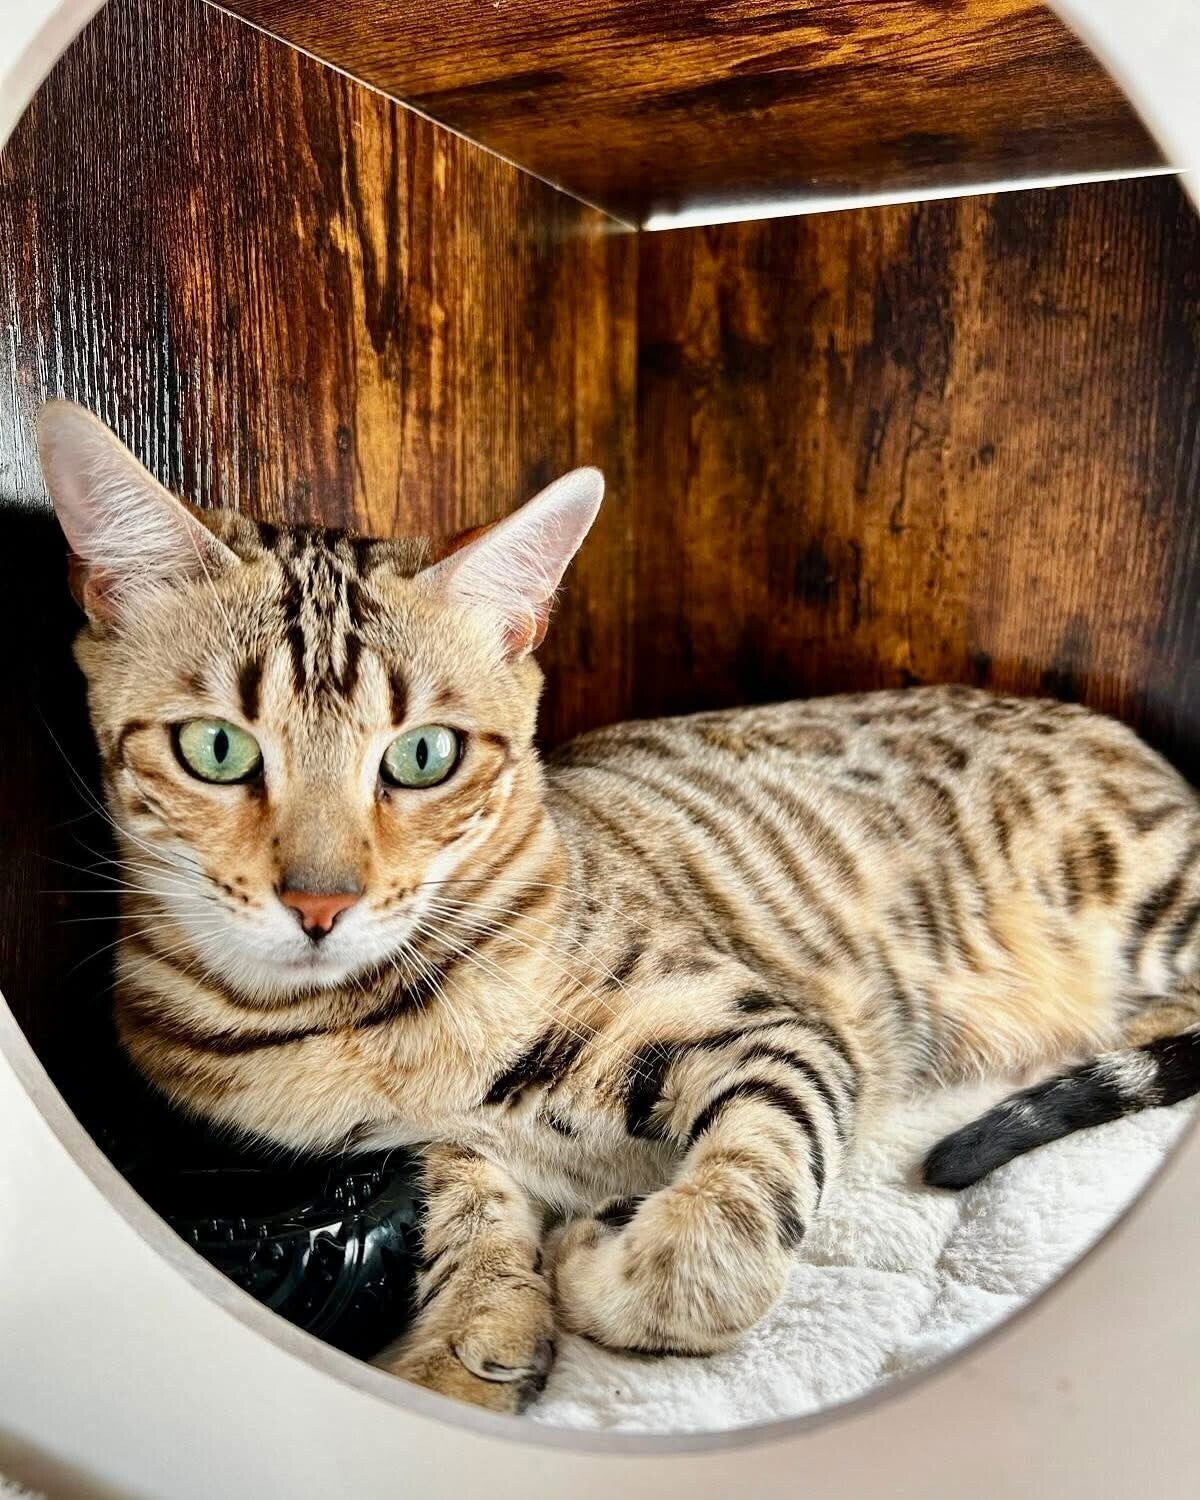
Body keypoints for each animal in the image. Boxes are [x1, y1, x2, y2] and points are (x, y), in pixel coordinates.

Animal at [38, 399, 1200, 1414]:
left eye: (422, 757)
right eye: (217, 748)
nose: (319, 903)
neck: (362, 1028)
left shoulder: (771, 1027)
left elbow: (741, 1202)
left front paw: (621, 1263)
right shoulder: (404, 1147)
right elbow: (466, 1202)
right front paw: (469, 1343)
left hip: (1152, 890)